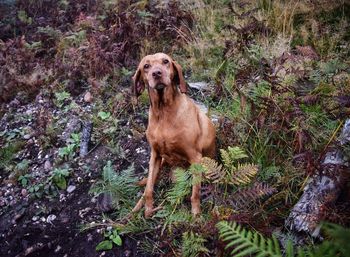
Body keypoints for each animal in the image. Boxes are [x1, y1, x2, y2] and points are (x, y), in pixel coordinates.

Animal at [131, 52, 215, 216]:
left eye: (166, 61)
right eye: (146, 66)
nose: (157, 73)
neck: (163, 111)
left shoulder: (195, 157)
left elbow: (195, 192)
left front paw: (196, 214)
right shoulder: (155, 155)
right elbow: (149, 188)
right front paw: (148, 209)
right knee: (148, 185)